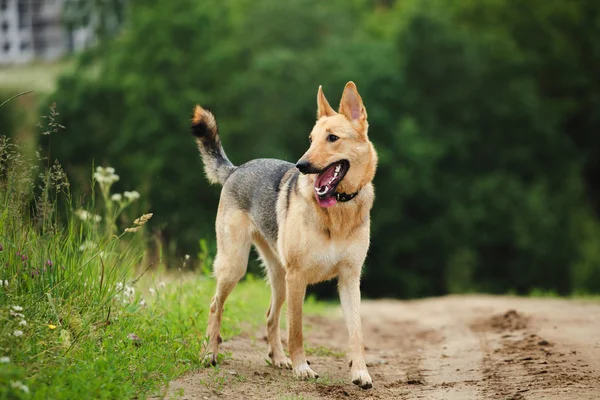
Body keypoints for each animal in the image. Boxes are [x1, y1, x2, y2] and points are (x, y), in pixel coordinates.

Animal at [190, 81, 378, 388]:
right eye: (311, 139)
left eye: (333, 138)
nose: (301, 165)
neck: (337, 208)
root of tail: (236, 169)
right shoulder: (298, 278)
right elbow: (296, 330)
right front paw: (303, 368)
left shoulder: (349, 279)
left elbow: (356, 332)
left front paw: (361, 372)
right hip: (236, 266)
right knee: (215, 305)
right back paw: (209, 354)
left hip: (278, 277)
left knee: (270, 316)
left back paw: (278, 359)